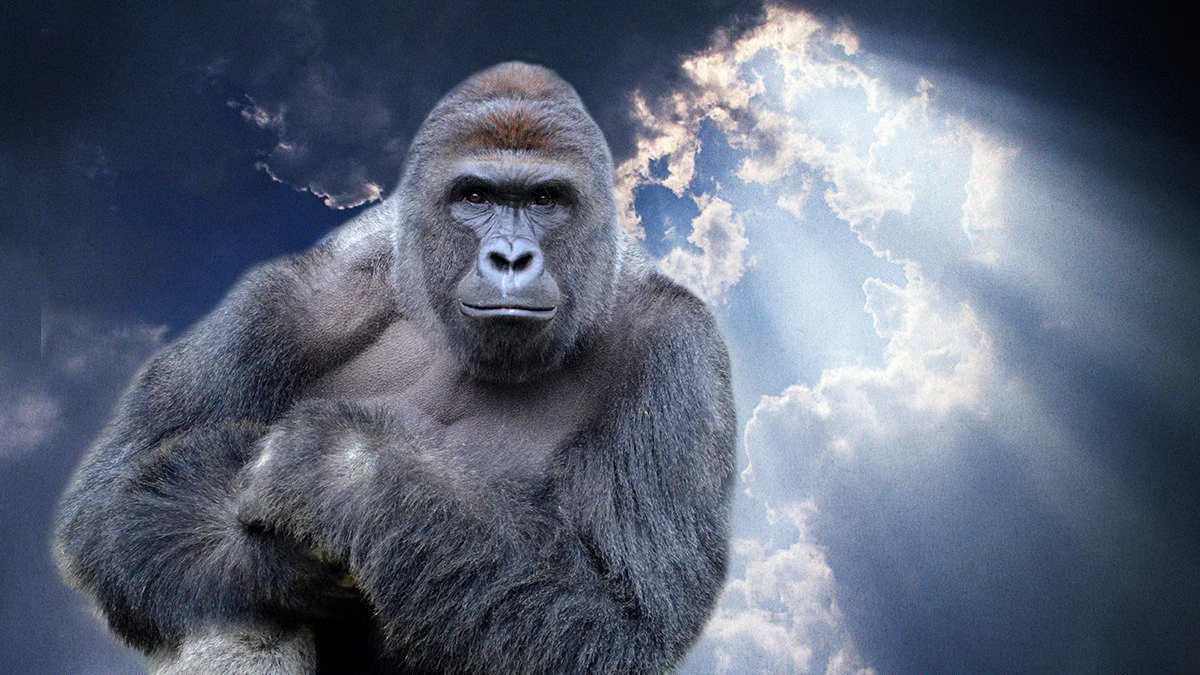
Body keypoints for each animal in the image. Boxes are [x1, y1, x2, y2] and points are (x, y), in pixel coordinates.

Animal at [54, 62, 737, 673]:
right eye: (476, 196)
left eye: (545, 199)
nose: (511, 257)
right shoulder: (302, 296)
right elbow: (108, 509)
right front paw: (282, 559)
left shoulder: (678, 348)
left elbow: (626, 619)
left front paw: (343, 471)